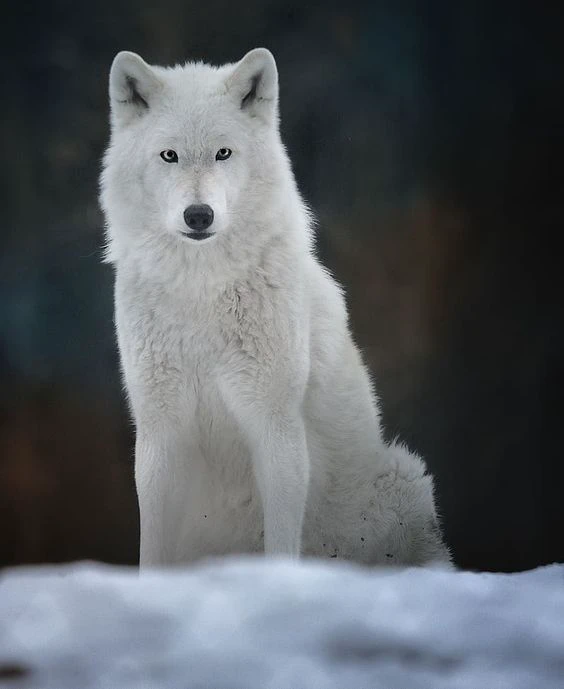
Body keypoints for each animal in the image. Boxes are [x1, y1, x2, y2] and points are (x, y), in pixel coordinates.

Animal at [100, 47, 450, 564]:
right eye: (170, 155)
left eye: (223, 153)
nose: (198, 215)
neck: (203, 288)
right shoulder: (161, 430)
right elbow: (151, 550)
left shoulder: (274, 422)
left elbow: (283, 540)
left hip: (403, 478)